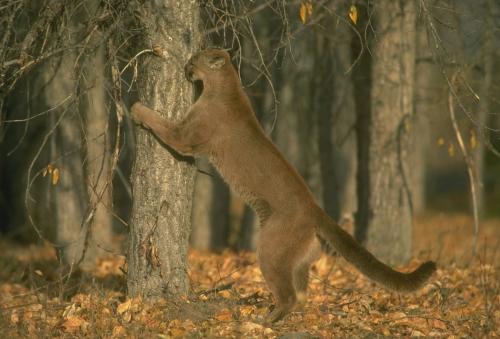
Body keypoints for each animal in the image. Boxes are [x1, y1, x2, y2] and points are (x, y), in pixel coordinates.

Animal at [131, 48, 436, 324]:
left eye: (194, 59)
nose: (186, 66)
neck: (226, 85)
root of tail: (316, 210)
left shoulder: (184, 136)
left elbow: (160, 122)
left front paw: (136, 108)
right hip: (300, 258)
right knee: (301, 294)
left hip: (271, 249)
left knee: (288, 294)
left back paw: (264, 320)